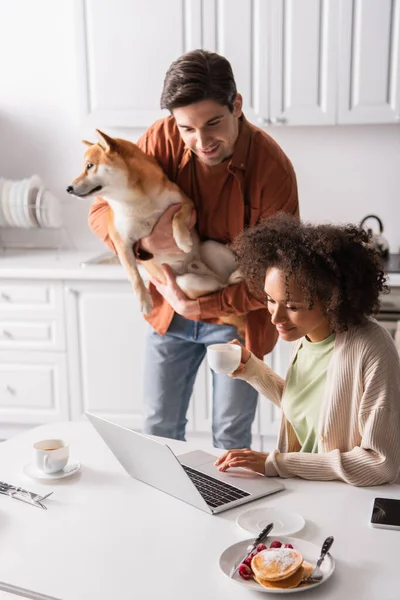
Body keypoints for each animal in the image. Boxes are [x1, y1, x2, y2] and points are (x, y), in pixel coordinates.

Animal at [67, 129, 242, 322]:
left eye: (89, 166)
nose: (68, 188)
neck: (136, 200)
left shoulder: (185, 203)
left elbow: (177, 218)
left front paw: (183, 241)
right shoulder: (121, 242)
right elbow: (134, 275)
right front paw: (144, 301)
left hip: (209, 247)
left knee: (220, 284)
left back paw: (235, 276)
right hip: (185, 282)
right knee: (218, 285)